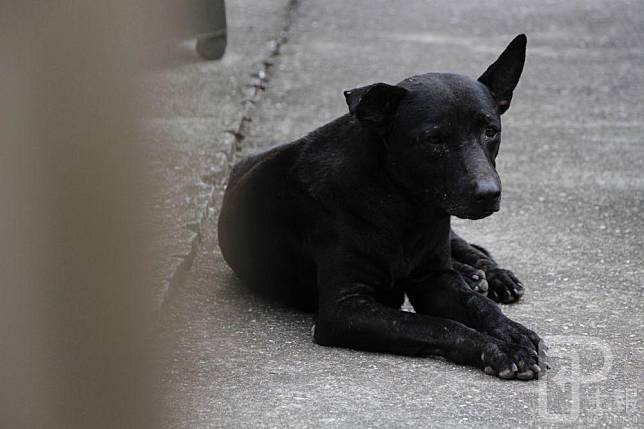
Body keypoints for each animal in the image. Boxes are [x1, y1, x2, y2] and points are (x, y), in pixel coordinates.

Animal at [219, 35, 544, 380]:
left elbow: (479, 307)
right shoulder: (345, 309)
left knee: (464, 247)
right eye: (434, 139)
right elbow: (436, 325)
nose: (489, 193)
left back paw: (489, 274)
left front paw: (511, 331)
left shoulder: (435, 279)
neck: (405, 209)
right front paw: (499, 349)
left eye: (491, 131)